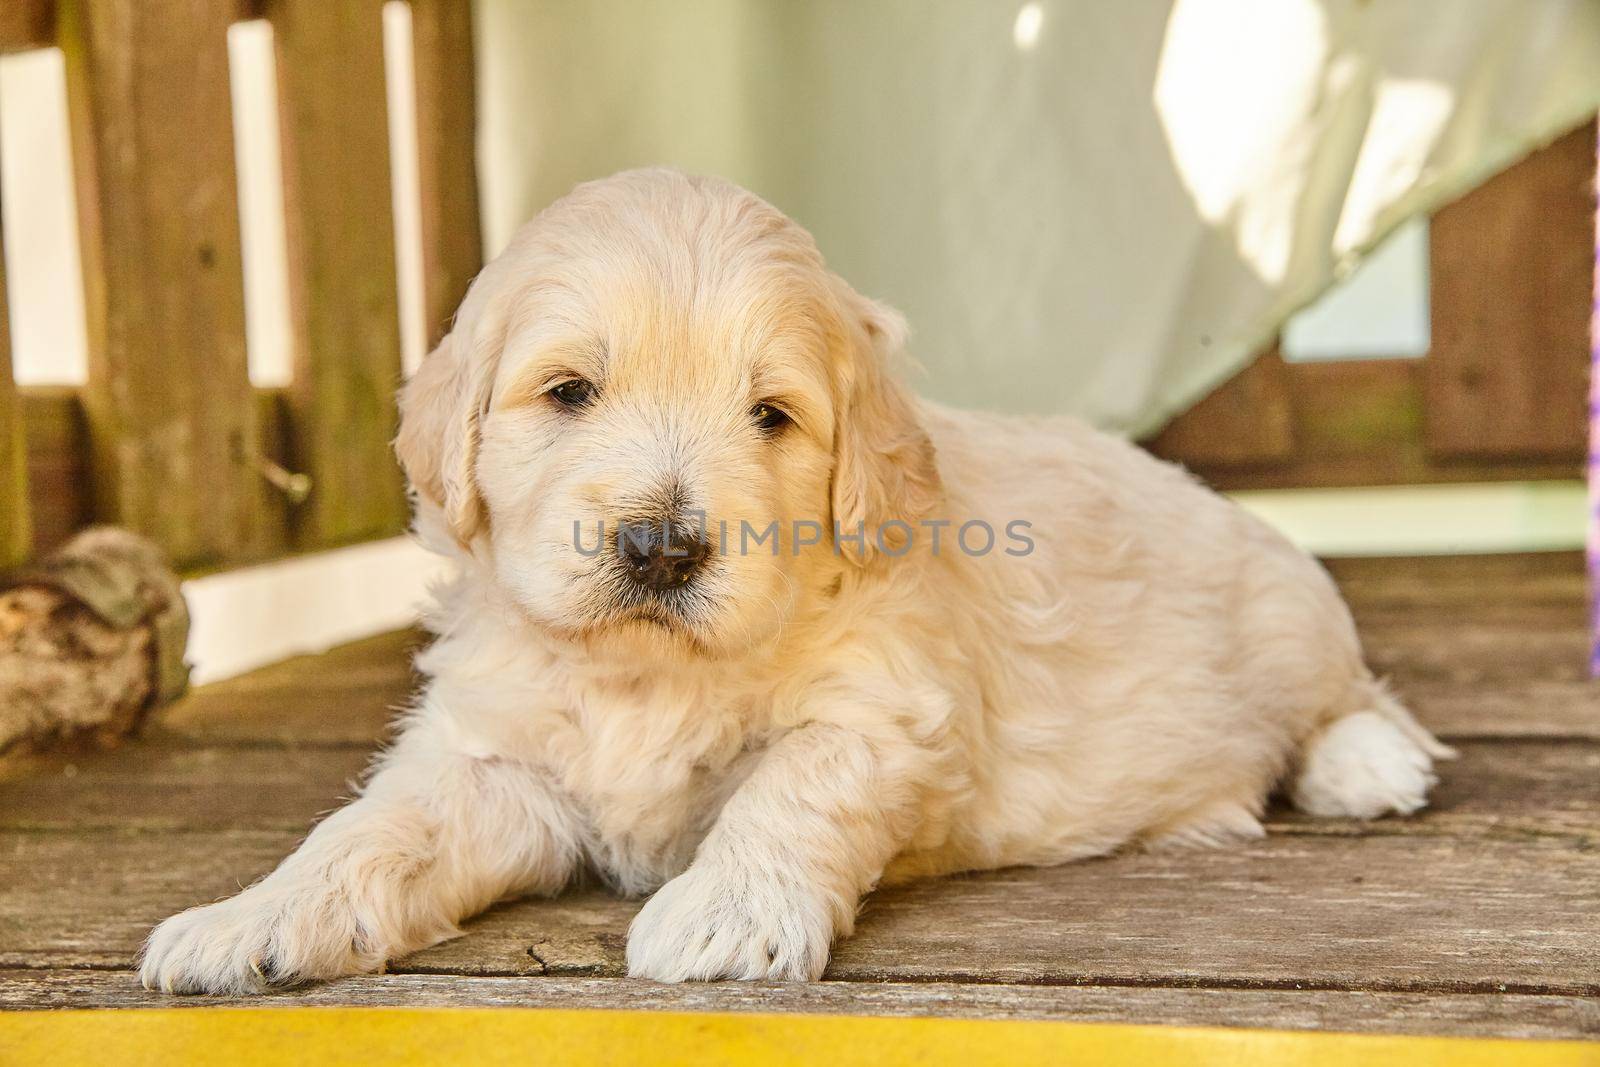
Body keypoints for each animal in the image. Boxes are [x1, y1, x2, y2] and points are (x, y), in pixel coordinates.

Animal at [140, 167, 1452, 991]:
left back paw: (1365, 764)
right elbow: (371, 830)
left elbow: (792, 785)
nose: (661, 547)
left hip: (1287, 605)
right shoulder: (497, 762)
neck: (647, 676)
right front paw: (247, 919)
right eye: (568, 391)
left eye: (771, 414)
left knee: (1348, 693)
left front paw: (727, 913)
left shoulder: (887, 710)